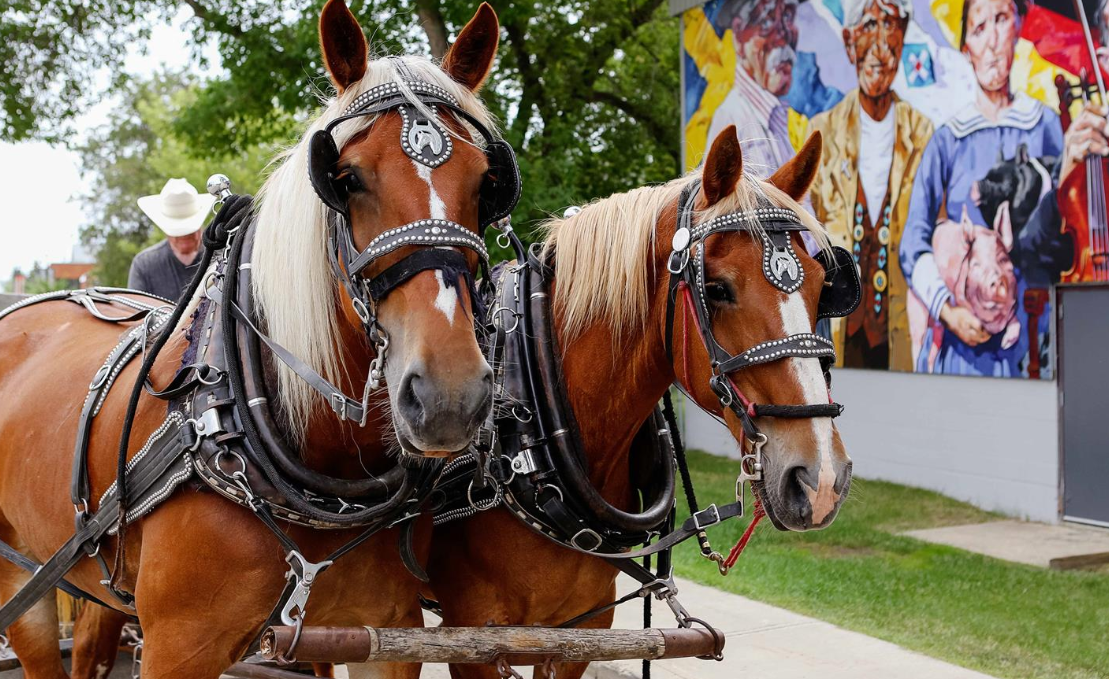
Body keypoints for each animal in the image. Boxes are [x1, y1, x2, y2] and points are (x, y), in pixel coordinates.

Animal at [0, 1, 506, 677]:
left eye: (486, 182)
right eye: (347, 179)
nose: (448, 395)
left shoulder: (388, 633)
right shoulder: (179, 643)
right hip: (20, 579)